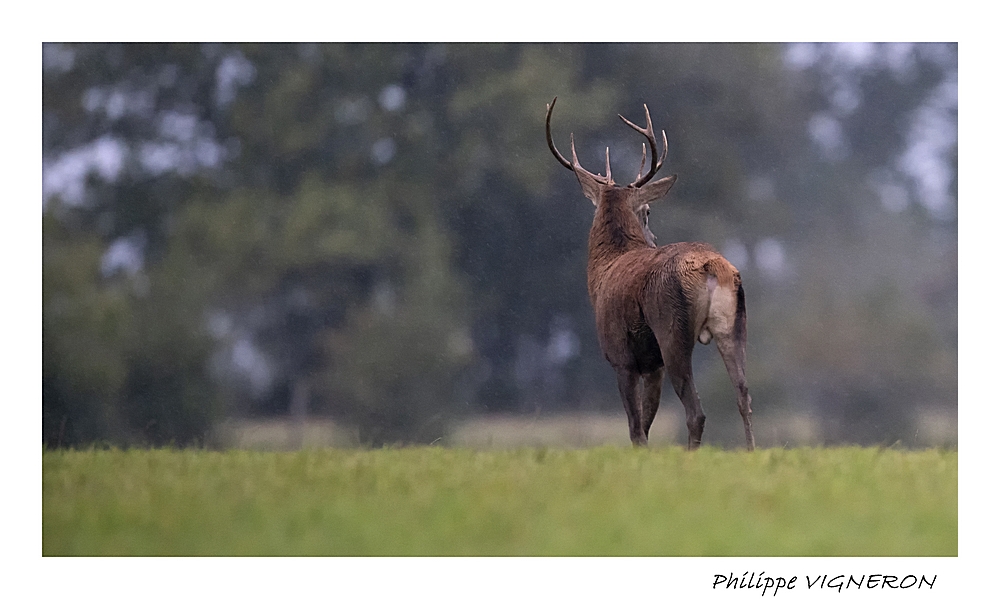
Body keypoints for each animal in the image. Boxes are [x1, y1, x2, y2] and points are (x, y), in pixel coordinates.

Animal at [545, 97, 755, 451]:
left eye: (648, 211)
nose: (654, 238)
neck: (602, 272)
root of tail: (711, 265)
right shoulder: (652, 365)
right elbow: (646, 420)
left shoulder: (621, 356)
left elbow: (636, 428)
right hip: (734, 324)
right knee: (743, 396)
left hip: (671, 329)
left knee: (696, 411)